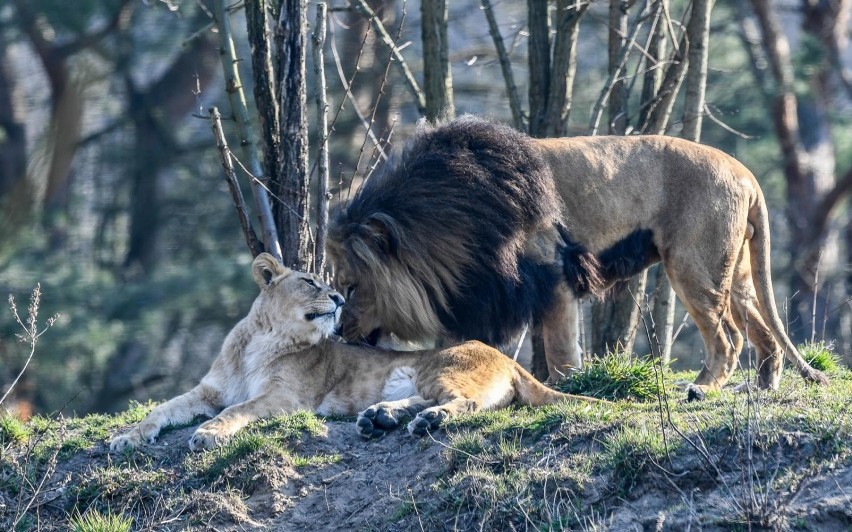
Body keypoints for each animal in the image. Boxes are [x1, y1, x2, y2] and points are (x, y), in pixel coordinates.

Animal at [110, 252, 600, 448]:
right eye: (310, 282)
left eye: (329, 284)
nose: (339, 299)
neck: (264, 339)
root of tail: (506, 358)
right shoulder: (206, 391)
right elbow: (160, 410)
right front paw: (126, 438)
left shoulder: (286, 398)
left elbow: (237, 410)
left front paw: (209, 433)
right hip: (414, 378)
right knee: (427, 400)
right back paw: (378, 417)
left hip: (440, 367)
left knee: (469, 402)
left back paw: (424, 422)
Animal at [330, 116, 828, 400]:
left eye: (350, 288)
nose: (338, 332)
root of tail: (745, 172)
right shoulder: (492, 291)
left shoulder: (551, 272)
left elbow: (561, 347)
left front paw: (566, 385)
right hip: (734, 271)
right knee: (762, 331)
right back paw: (761, 387)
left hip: (692, 265)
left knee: (728, 339)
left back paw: (701, 388)